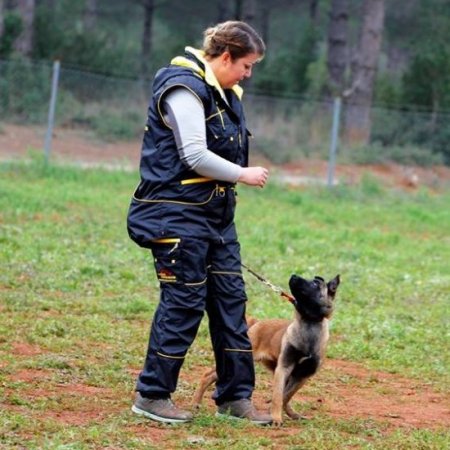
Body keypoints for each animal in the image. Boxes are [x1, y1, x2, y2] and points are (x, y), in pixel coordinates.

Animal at [192, 274, 340, 426]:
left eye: (316, 284)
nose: (294, 275)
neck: (309, 324)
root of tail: (257, 323)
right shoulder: (283, 369)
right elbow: (278, 397)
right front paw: (275, 417)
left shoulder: (302, 376)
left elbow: (285, 396)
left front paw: (279, 413)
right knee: (207, 375)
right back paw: (195, 403)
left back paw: (292, 413)